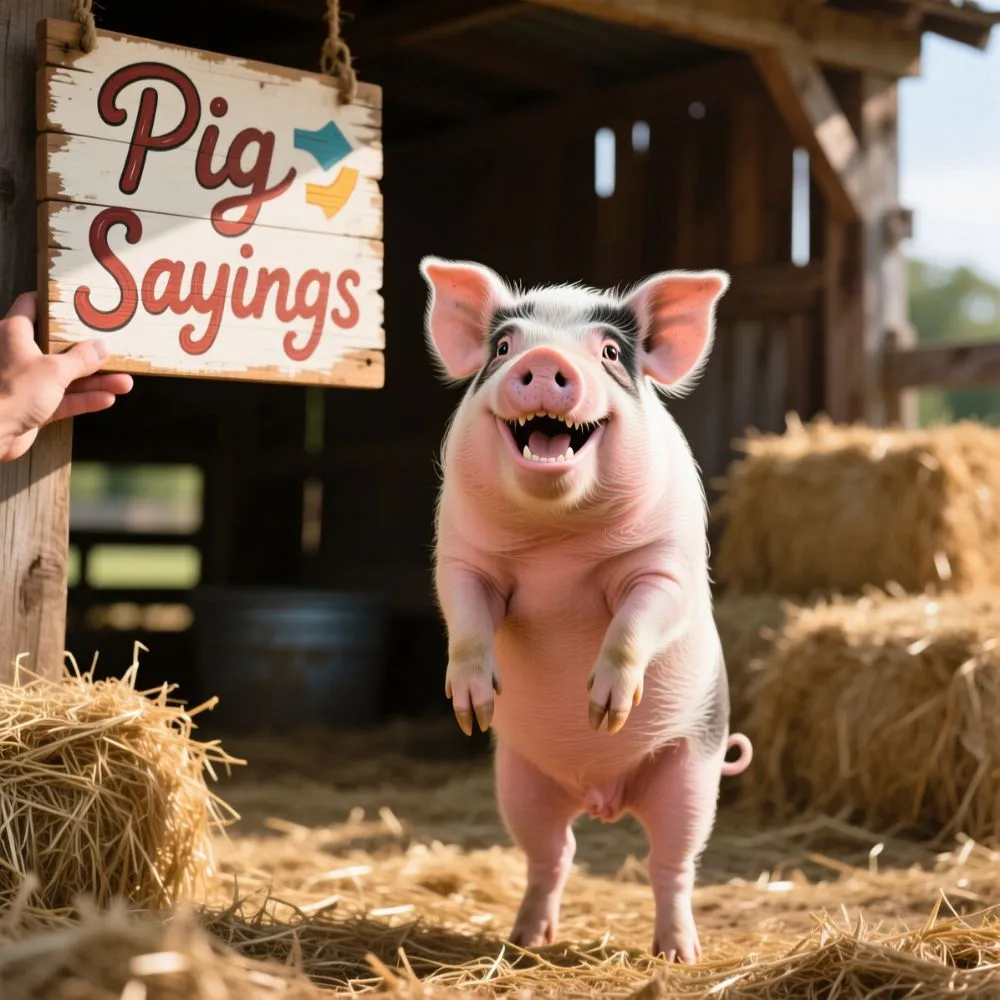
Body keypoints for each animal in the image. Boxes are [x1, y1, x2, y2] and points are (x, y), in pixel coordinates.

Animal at [419, 256, 753, 964]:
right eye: (503, 347)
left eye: (609, 352)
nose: (546, 359)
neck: (557, 546)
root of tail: (603, 796)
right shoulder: (460, 559)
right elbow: (465, 618)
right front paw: (473, 709)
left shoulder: (668, 565)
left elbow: (636, 620)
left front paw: (603, 711)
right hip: (521, 782)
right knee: (554, 853)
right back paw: (524, 941)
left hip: (692, 770)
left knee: (670, 863)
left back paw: (678, 954)